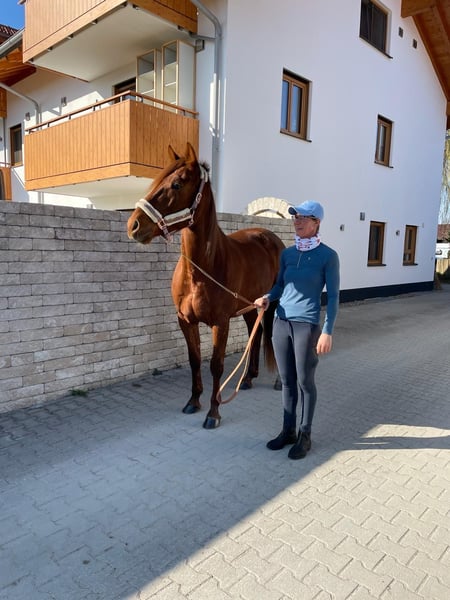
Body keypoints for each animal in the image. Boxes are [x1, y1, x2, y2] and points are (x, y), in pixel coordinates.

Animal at [127, 143, 284, 429]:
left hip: (274, 302)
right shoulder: (185, 320)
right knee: (254, 334)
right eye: (156, 181)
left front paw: (213, 412)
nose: (133, 225)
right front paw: (193, 401)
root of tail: (270, 237)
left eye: (176, 184)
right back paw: (247, 379)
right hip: (250, 306)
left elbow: (216, 365)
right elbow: (195, 360)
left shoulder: (219, 323)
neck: (200, 271)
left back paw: (278, 380)